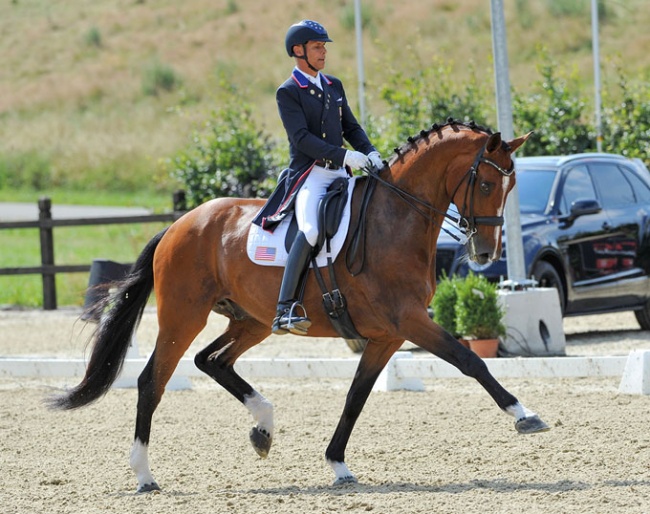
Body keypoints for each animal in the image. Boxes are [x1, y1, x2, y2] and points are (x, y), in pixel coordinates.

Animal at [49, 118, 548, 490]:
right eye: (487, 183)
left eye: (509, 188)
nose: (485, 253)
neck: (396, 219)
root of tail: (178, 225)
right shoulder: (409, 320)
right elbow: (470, 360)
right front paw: (525, 415)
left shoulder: (388, 334)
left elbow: (356, 396)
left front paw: (338, 464)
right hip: (183, 315)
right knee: (153, 379)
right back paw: (144, 475)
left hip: (252, 321)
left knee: (212, 360)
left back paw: (263, 428)